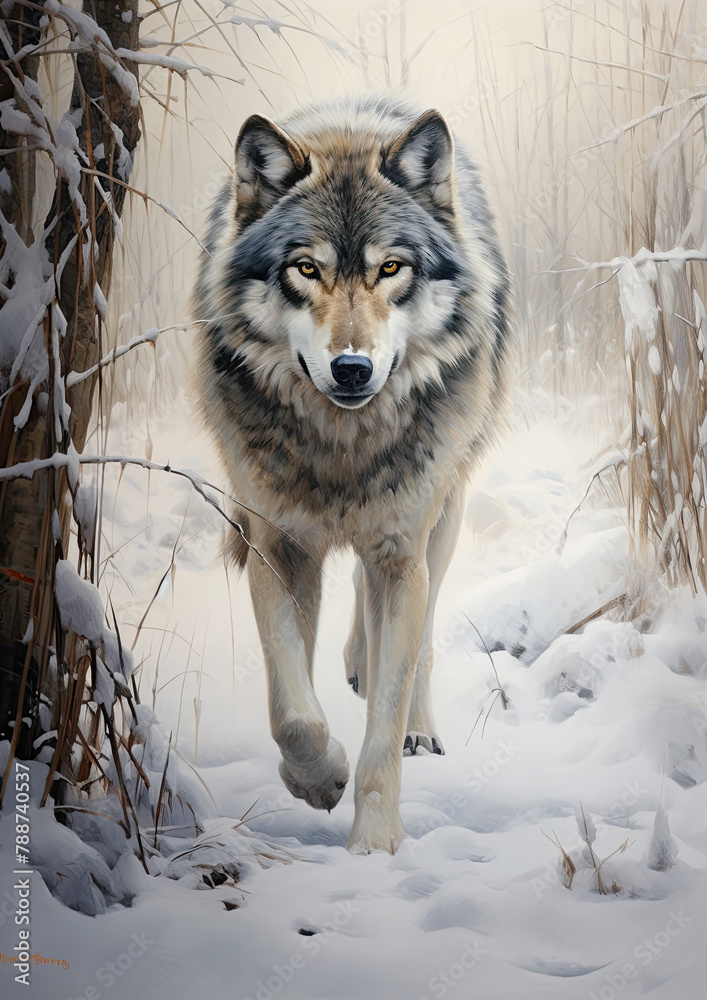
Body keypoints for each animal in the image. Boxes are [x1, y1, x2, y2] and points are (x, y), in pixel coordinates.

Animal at [193, 95, 510, 854]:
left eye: (390, 267)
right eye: (305, 269)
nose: (352, 369)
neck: (344, 450)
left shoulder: (400, 554)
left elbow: (384, 729)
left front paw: (374, 845)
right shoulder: (275, 547)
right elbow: (293, 714)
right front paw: (318, 780)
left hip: (439, 523)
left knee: (419, 638)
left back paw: (415, 720)